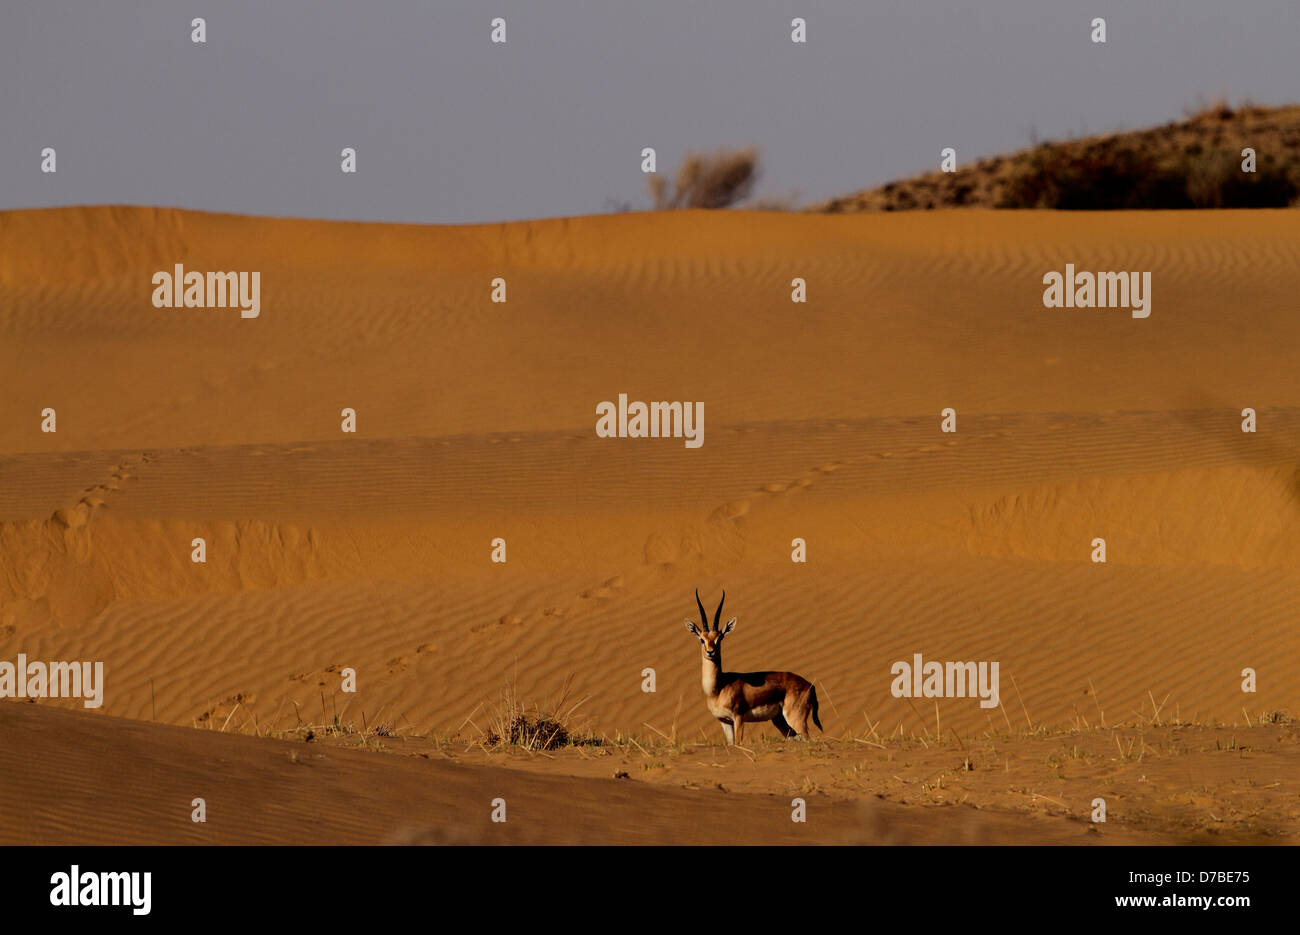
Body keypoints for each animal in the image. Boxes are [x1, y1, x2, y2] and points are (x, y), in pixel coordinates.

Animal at [684, 589, 822, 745]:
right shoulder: (725, 722)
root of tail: (810, 685)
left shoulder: (738, 718)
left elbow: (738, 743)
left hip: (796, 719)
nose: (710, 652)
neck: (718, 688)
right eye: (702, 639)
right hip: (779, 720)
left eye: (719, 639)